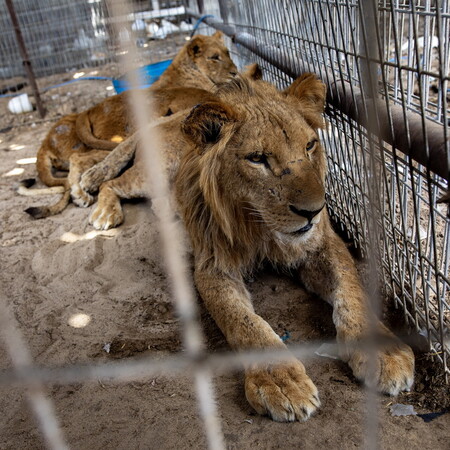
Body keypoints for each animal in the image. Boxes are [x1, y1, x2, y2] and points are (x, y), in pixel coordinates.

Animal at [22, 31, 237, 218]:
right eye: (214, 57)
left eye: (228, 53)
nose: (235, 73)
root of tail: (89, 109)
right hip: (121, 134)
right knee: (86, 157)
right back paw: (86, 192)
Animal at [75, 71, 414, 422]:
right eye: (257, 159)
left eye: (310, 145)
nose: (313, 211)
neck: (259, 224)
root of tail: (167, 120)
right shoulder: (213, 266)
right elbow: (243, 322)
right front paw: (280, 381)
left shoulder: (323, 243)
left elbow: (351, 289)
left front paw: (384, 352)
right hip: (150, 174)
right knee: (113, 183)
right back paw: (102, 210)